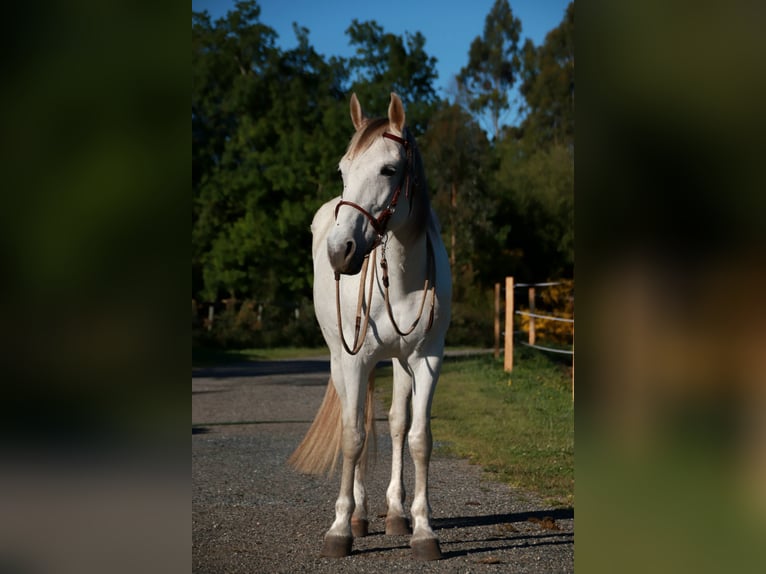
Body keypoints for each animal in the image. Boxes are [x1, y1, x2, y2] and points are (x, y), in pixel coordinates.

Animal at [288, 93, 452, 560]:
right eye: (343, 170)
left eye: (389, 170)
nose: (339, 251)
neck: (399, 279)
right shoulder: (355, 360)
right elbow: (353, 437)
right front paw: (341, 529)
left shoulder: (427, 358)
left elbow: (417, 437)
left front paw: (423, 529)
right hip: (340, 360)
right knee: (356, 419)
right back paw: (359, 516)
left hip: (398, 362)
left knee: (396, 423)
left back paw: (395, 513)